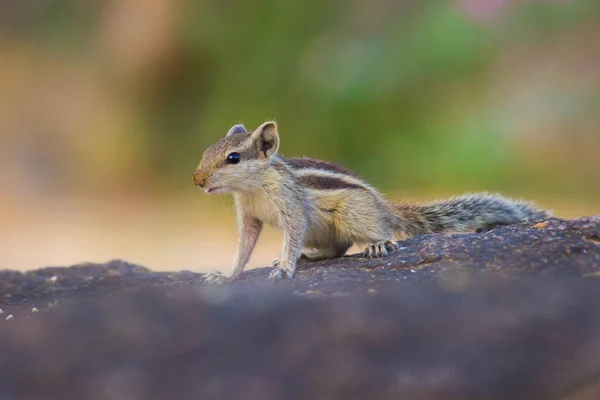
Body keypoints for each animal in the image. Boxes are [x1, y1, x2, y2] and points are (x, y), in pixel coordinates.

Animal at [193, 120, 548, 282]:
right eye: (206, 151)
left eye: (233, 158)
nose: (197, 180)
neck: (253, 187)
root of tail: (385, 208)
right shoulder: (248, 216)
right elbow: (244, 247)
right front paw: (226, 275)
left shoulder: (291, 204)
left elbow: (292, 235)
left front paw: (284, 267)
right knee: (338, 249)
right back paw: (312, 255)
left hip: (351, 213)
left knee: (375, 235)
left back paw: (378, 244)